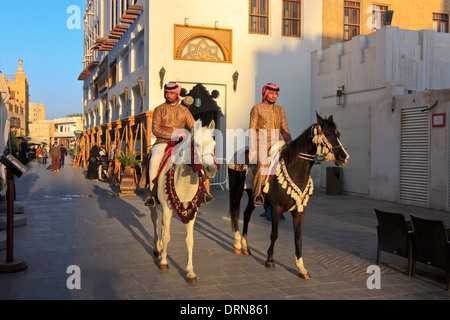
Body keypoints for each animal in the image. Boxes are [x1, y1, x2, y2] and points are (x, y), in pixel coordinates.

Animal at [149, 119, 217, 282]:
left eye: (214, 143)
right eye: (196, 144)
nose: (211, 170)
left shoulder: (192, 212)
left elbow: (189, 240)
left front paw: (190, 272)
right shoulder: (167, 211)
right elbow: (167, 236)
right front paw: (164, 263)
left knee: (162, 226)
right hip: (154, 204)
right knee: (155, 220)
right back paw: (157, 249)